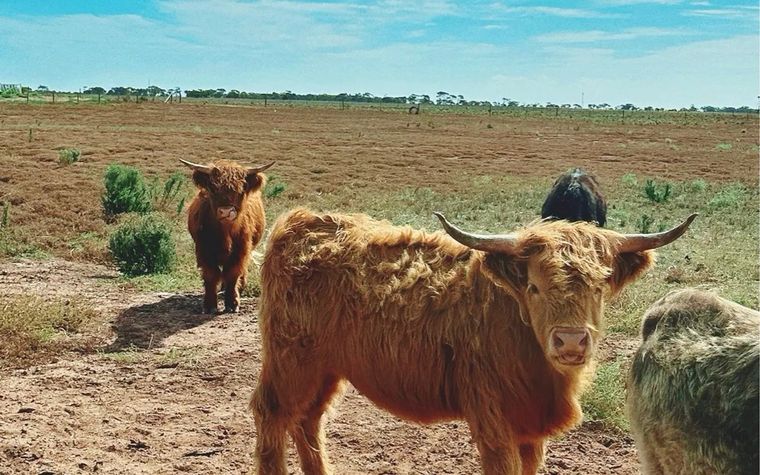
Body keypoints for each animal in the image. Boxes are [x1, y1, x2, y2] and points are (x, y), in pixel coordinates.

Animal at [180, 159, 274, 314]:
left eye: (241, 189)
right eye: (212, 188)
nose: (226, 211)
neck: (225, 233)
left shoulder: (241, 249)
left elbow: (233, 273)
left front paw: (232, 302)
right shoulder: (204, 249)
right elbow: (211, 275)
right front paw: (210, 304)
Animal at [250, 207, 696, 474]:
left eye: (600, 287)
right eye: (533, 286)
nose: (570, 343)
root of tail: (299, 222)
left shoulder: (531, 428)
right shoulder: (492, 421)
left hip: (325, 369)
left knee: (308, 420)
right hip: (291, 361)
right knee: (272, 415)